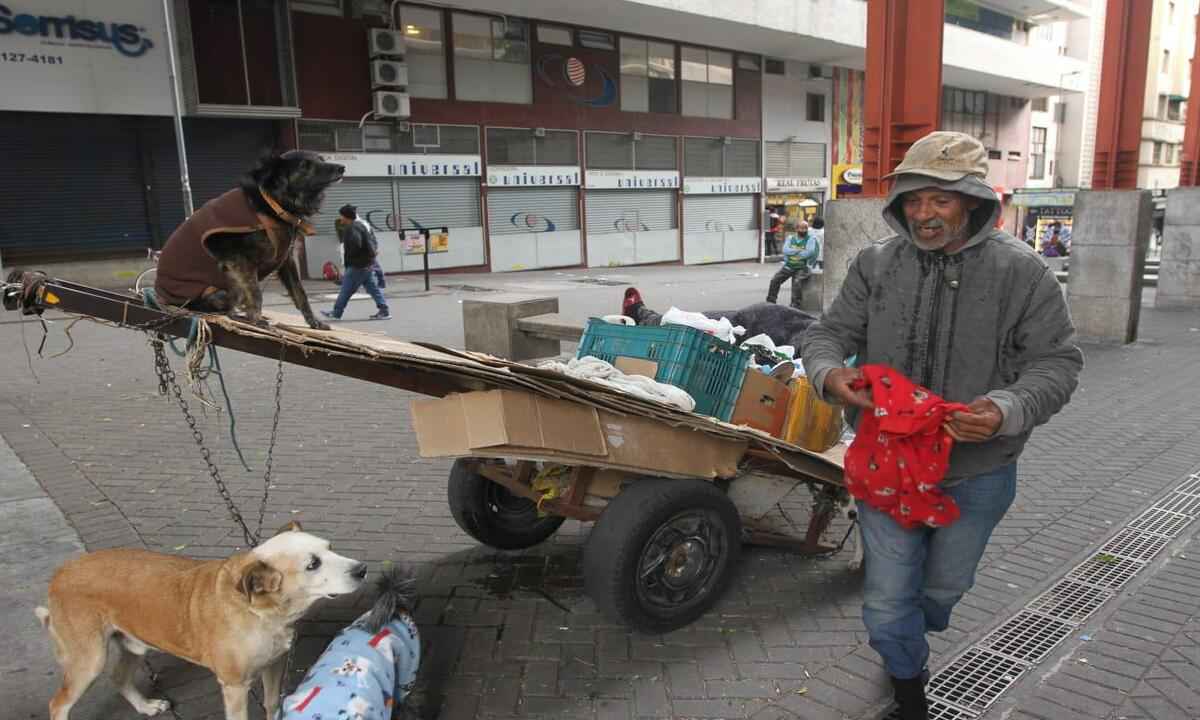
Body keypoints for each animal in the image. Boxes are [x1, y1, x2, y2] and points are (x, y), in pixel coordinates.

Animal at [37, 523, 364, 720]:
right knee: (57, 704)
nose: (362, 569)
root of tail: (59, 573)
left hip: (132, 643)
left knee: (118, 678)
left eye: (330, 547)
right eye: (313, 564)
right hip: (89, 660)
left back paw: (146, 706)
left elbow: (272, 704)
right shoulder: (234, 686)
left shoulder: (274, 665)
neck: (258, 611)